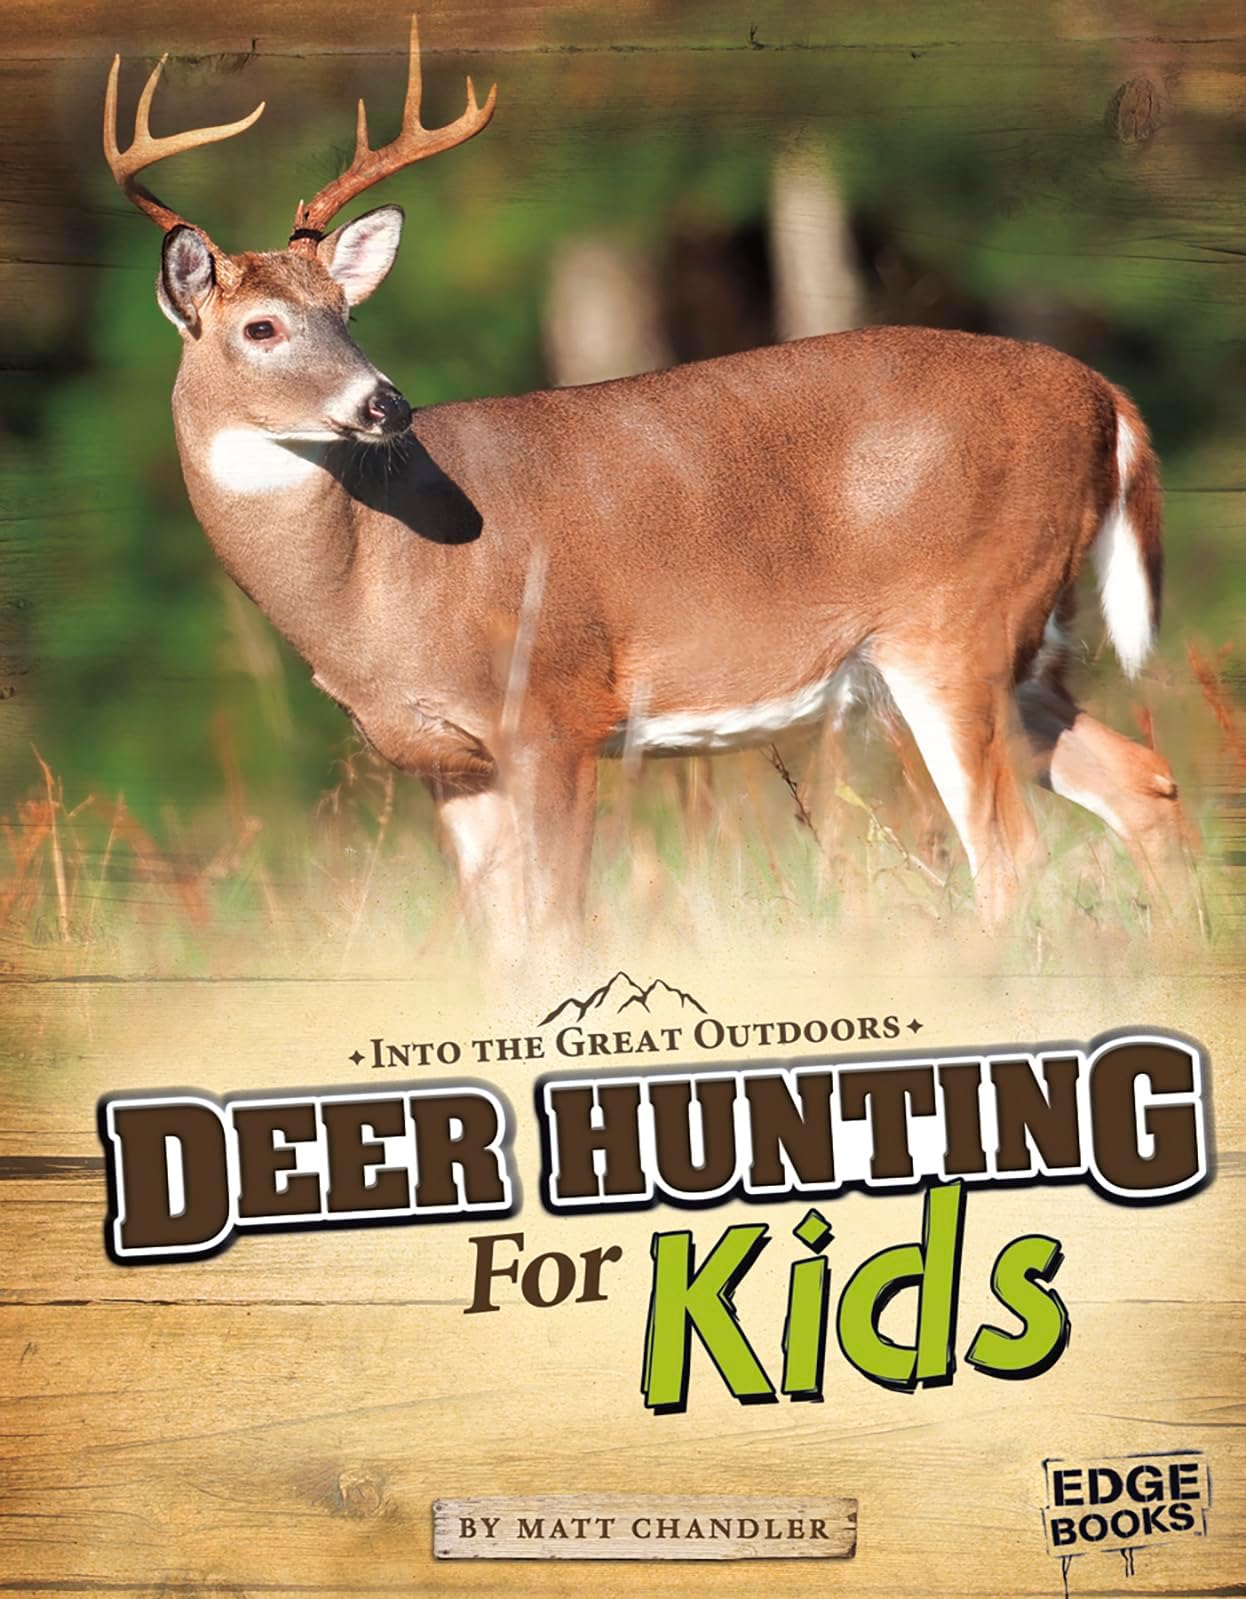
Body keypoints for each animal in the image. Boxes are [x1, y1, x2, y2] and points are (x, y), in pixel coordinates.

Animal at [103, 16, 1186, 953]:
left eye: (346, 313)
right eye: (263, 327)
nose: (385, 402)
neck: (373, 582)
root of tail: (1104, 396)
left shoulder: (553, 709)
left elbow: (559, 929)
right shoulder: (445, 762)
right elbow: (502, 949)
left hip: (955, 622)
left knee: (1010, 852)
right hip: (1025, 638)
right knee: (1143, 781)